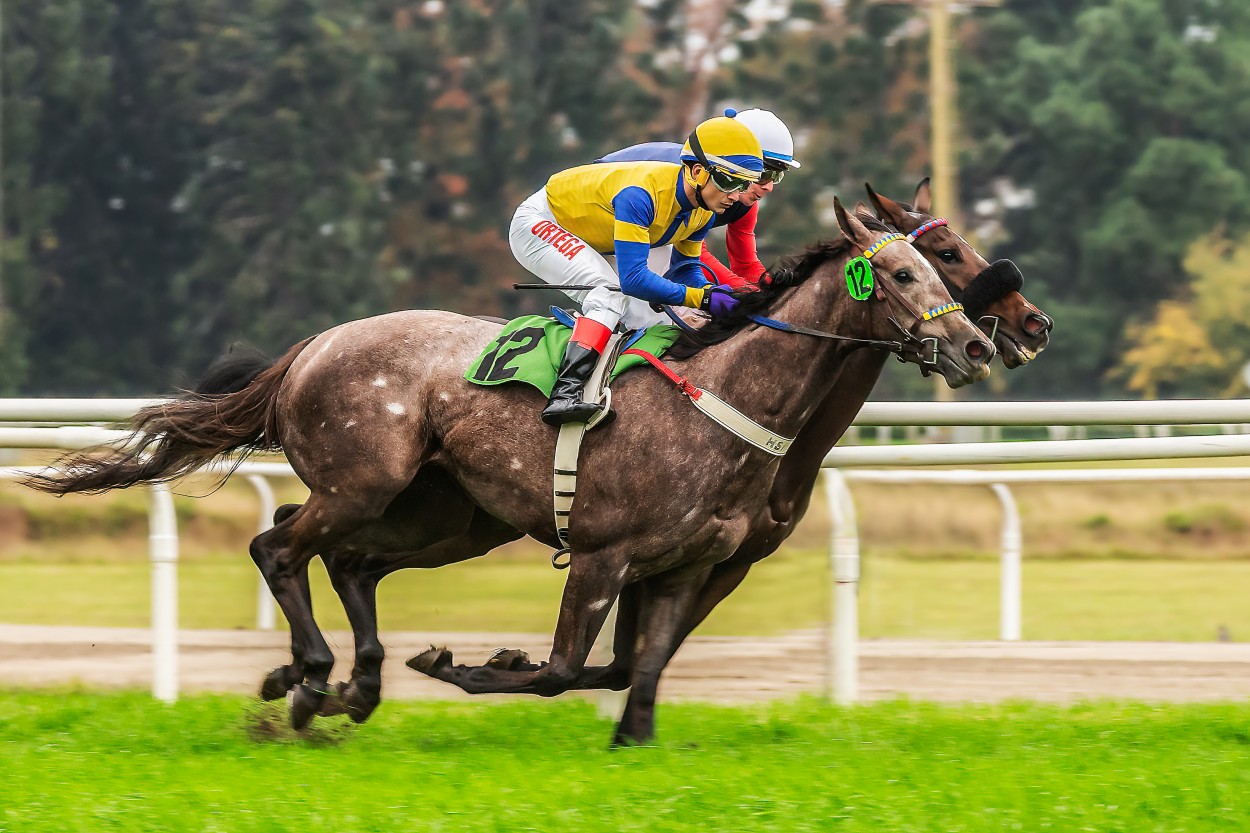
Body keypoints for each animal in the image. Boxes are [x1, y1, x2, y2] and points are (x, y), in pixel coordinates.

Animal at [26, 200, 995, 740]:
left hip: (447, 516)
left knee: (348, 561)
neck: (724, 400)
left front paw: (631, 740)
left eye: (939, 262)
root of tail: (312, 345)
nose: (979, 343)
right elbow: (564, 668)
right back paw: (312, 674)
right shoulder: (604, 555)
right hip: (363, 481)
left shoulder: (686, 566)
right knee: (280, 547)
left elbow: (636, 669)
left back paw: (338, 683)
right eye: (905, 271)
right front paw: (461, 662)